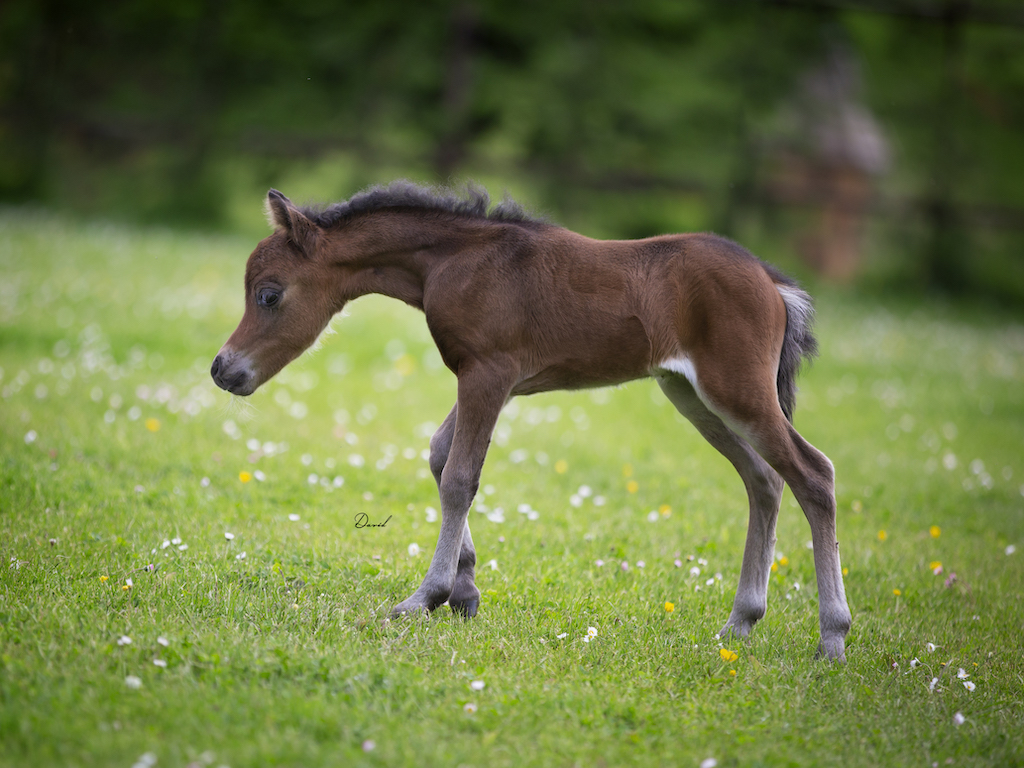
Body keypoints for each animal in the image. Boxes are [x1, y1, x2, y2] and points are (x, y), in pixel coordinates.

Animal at [211, 181, 852, 661]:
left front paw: (426, 597)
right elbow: (440, 455)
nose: (223, 370)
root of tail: (773, 282)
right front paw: (465, 592)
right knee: (764, 480)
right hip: (692, 395)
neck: (455, 261)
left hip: (737, 390)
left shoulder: (488, 374)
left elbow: (460, 477)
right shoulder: (490, 379)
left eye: (268, 295)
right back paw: (741, 622)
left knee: (813, 473)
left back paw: (833, 637)